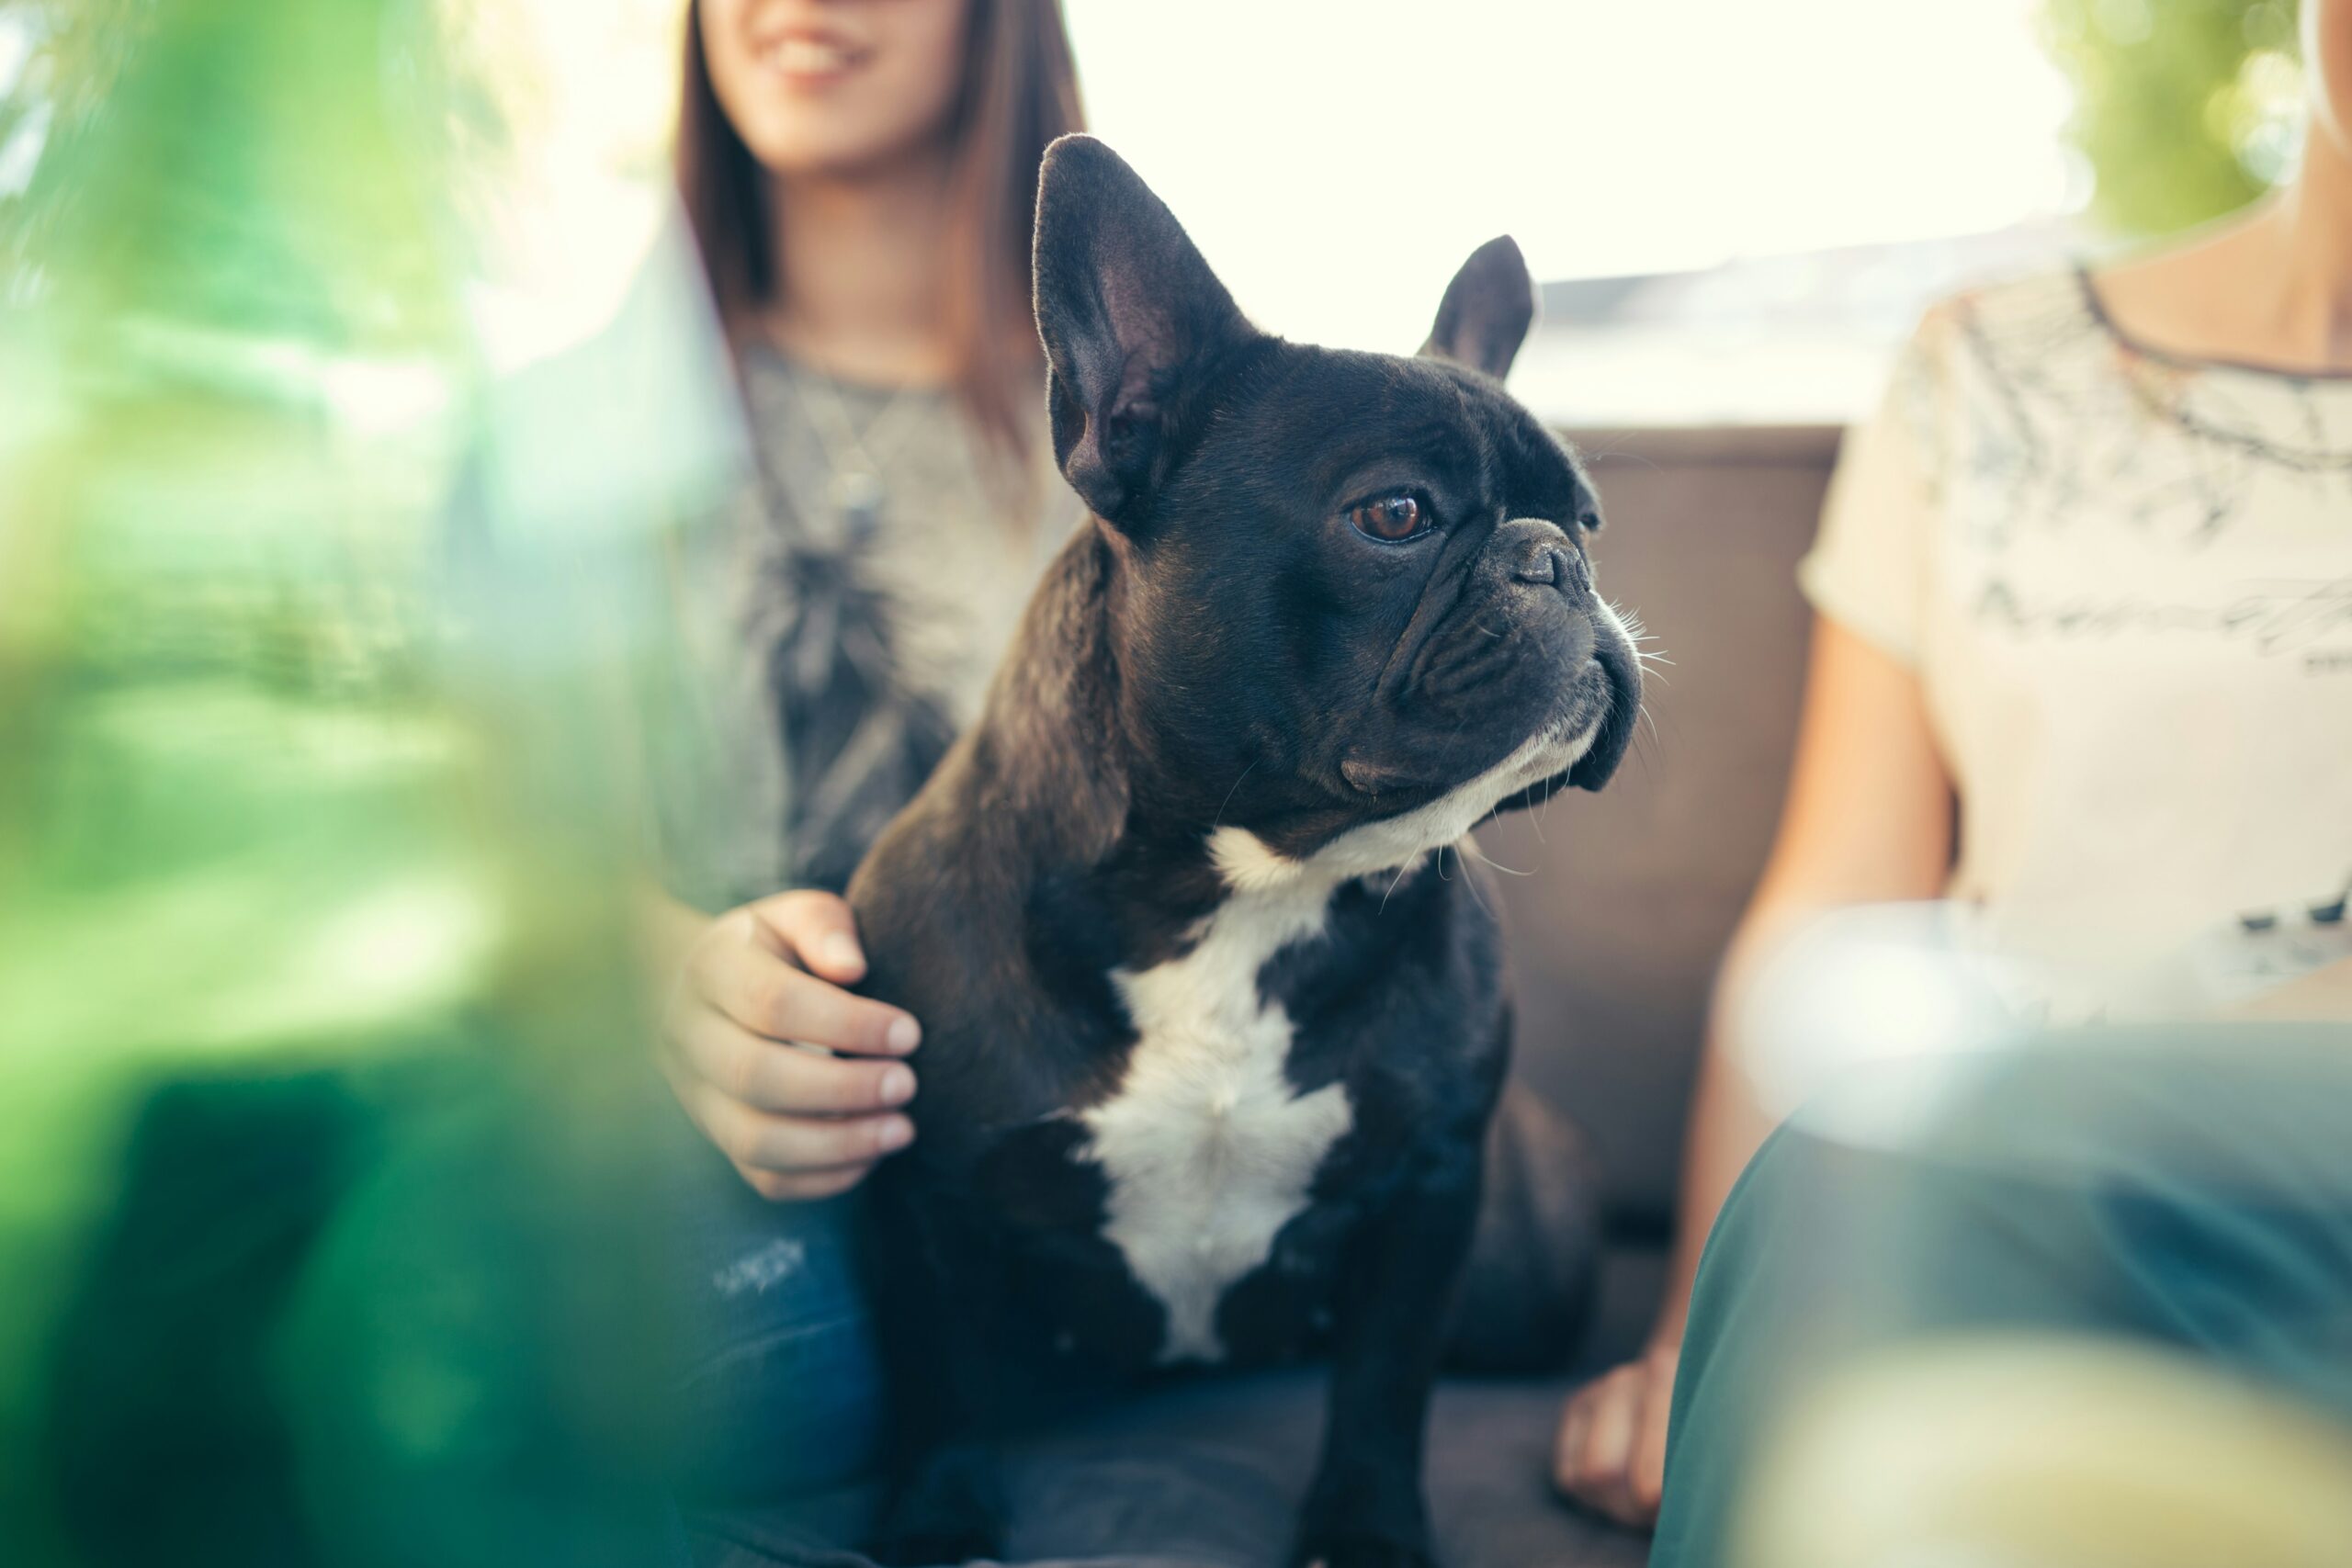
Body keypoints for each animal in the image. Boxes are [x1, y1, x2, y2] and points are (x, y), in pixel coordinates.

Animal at [855, 138, 1646, 1568]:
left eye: (1589, 519)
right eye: (1396, 514)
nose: (1556, 559)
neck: (1255, 891)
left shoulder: (1429, 1182)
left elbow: (1384, 1382)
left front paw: (1367, 1528)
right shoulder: (923, 1192)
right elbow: (935, 1376)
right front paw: (940, 1517)